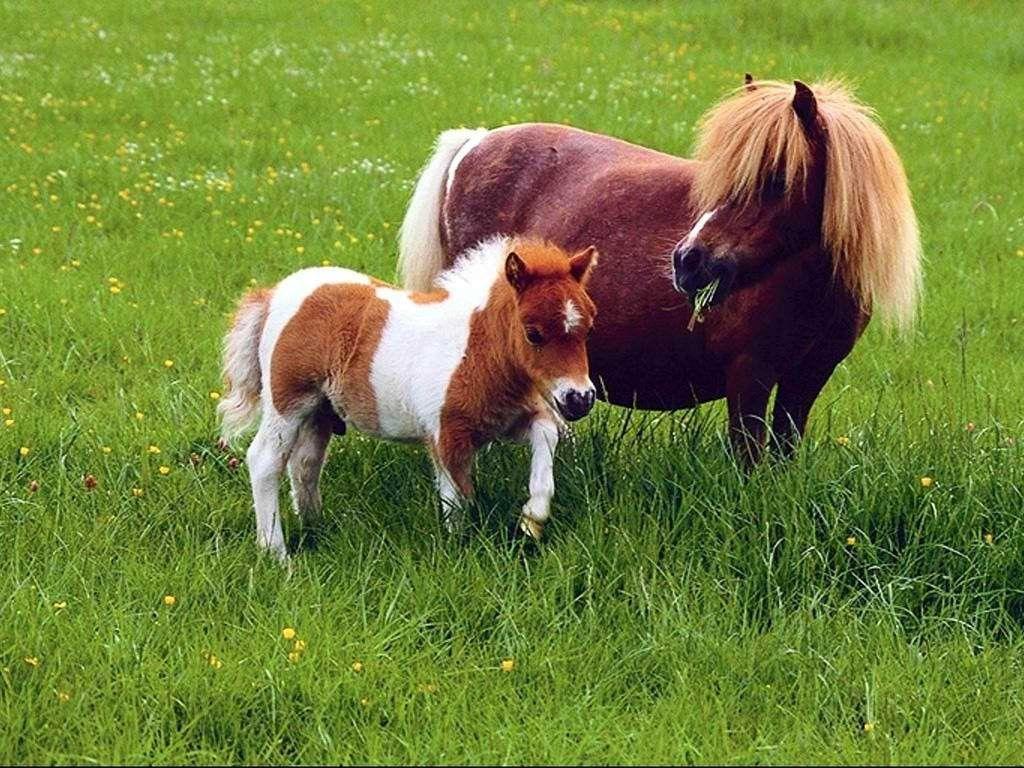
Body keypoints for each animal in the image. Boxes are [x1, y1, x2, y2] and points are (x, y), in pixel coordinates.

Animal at [218, 237, 599, 560]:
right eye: (533, 333)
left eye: (588, 328)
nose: (579, 398)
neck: (474, 350)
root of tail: (273, 295)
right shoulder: (447, 437)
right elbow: (459, 499)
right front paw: (460, 553)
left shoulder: (507, 421)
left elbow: (546, 436)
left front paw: (532, 519)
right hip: (288, 403)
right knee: (264, 460)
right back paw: (277, 554)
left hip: (318, 412)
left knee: (305, 465)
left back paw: (315, 529)